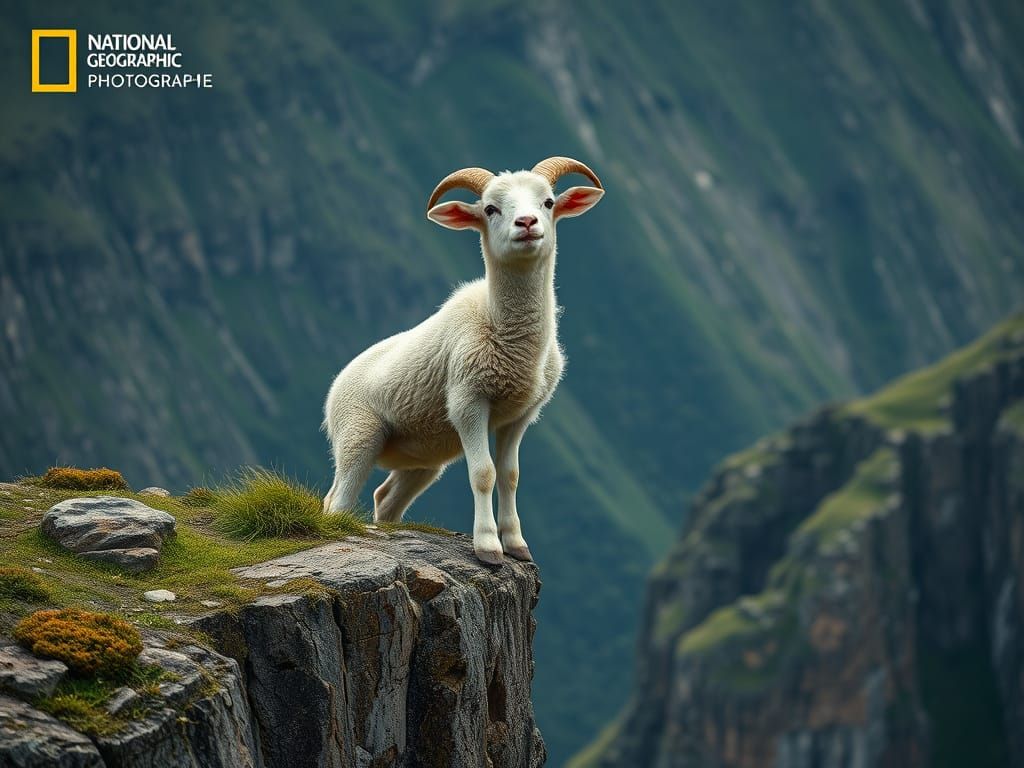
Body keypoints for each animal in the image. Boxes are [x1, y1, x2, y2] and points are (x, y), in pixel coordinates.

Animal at [322, 157, 604, 564]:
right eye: (490, 209)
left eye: (548, 202)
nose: (527, 223)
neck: (504, 330)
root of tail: (335, 386)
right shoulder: (468, 402)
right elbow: (483, 474)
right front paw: (488, 546)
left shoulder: (520, 414)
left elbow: (510, 475)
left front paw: (516, 543)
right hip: (358, 435)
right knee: (337, 501)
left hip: (422, 456)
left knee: (384, 497)